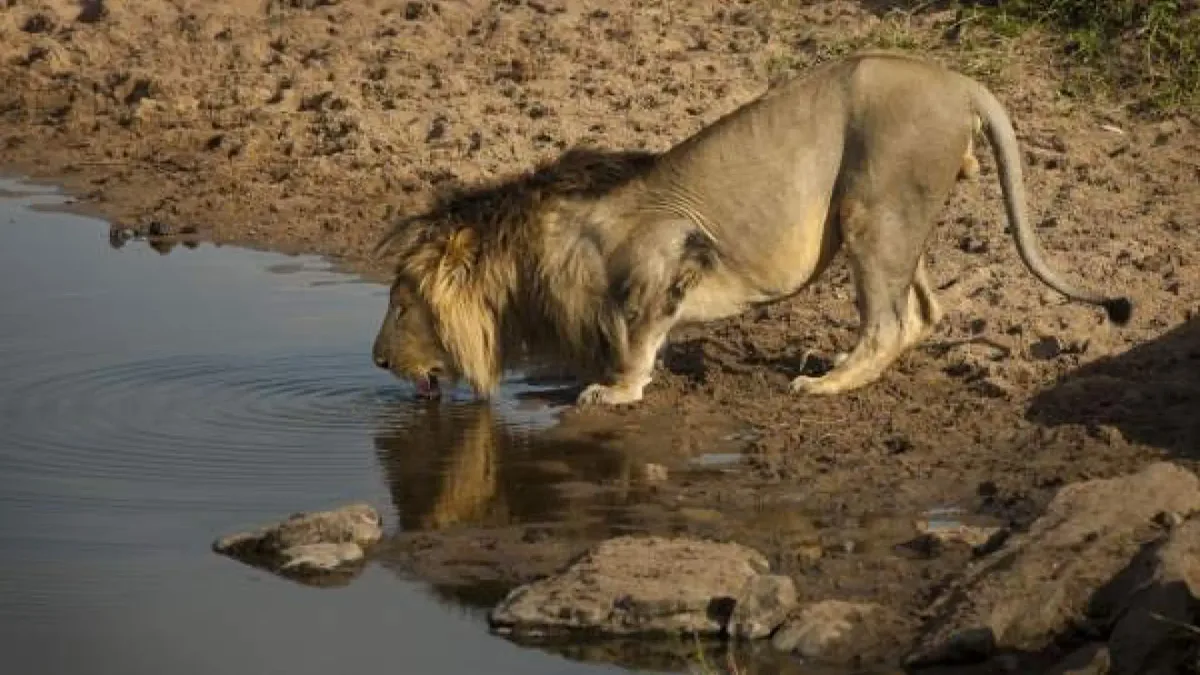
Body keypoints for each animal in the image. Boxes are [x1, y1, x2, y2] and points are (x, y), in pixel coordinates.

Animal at [371, 50, 1132, 406]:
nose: (375, 360)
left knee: (891, 321)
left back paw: (826, 384)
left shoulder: (670, 253)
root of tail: (962, 82)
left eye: (402, 304)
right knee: (923, 310)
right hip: (887, 210)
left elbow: (638, 337)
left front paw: (615, 390)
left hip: (871, 206)